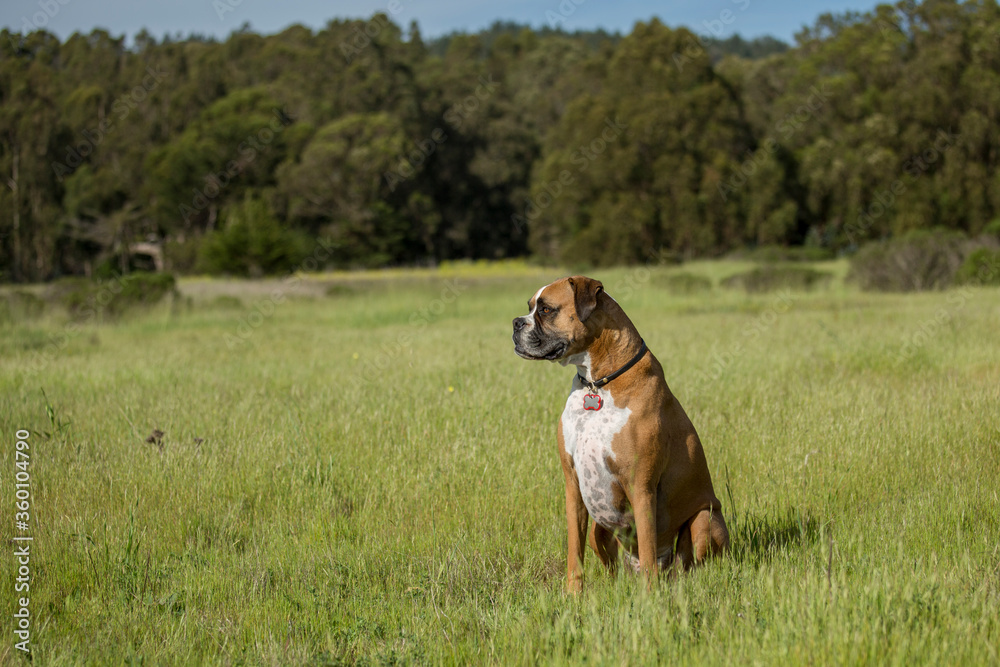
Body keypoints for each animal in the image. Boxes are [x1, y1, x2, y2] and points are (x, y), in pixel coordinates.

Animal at [516, 280, 728, 592]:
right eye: (530, 307)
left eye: (546, 310)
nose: (516, 322)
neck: (597, 383)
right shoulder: (573, 485)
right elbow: (574, 550)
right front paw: (573, 595)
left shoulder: (642, 486)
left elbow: (649, 546)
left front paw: (650, 598)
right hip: (598, 529)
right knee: (615, 568)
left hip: (705, 518)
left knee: (686, 565)